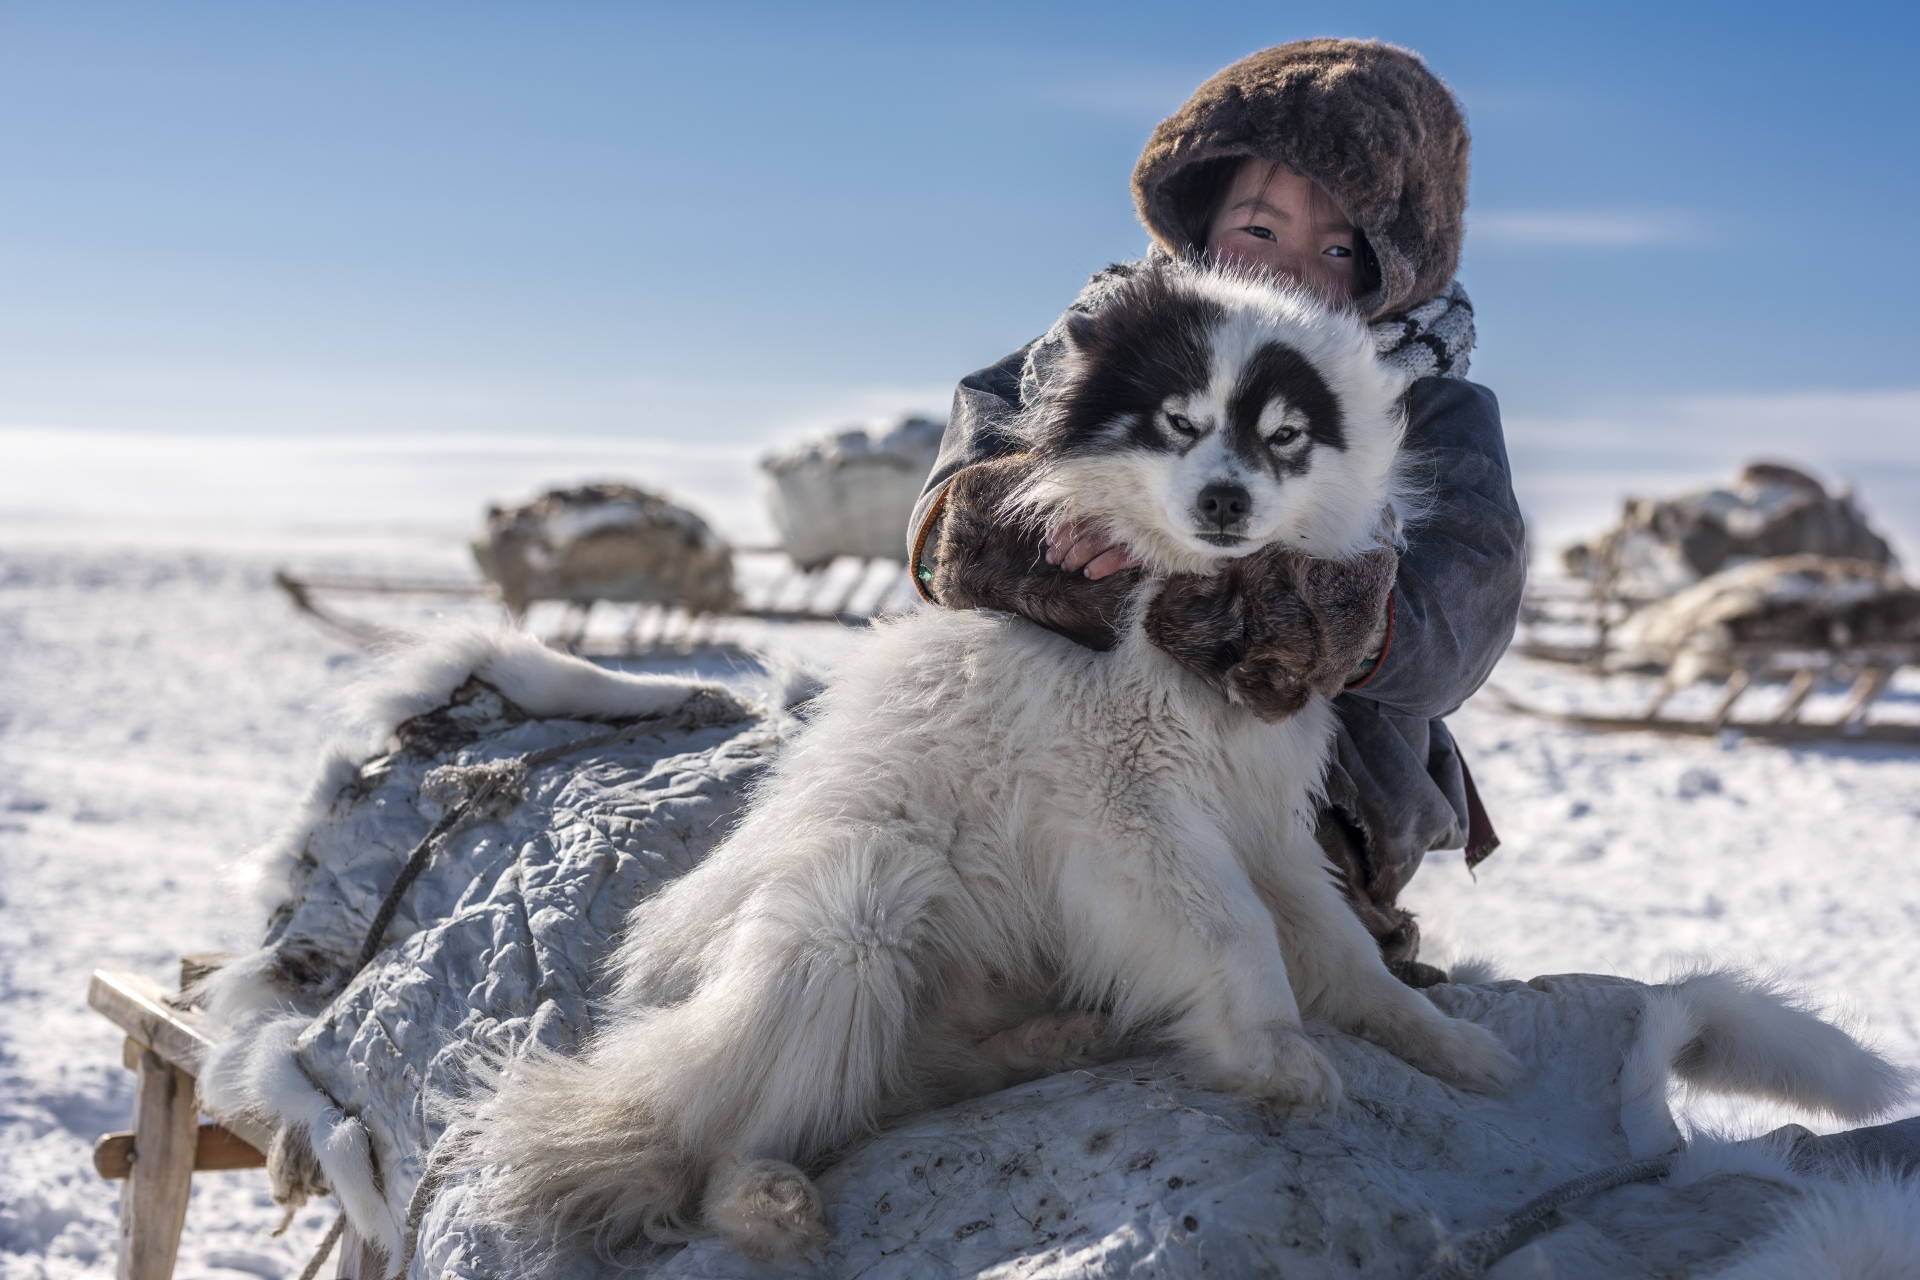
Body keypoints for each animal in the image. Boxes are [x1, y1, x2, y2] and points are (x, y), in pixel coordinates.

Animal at [460, 260, 1512, 1258]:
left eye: (1287, 435)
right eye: (1178, 421)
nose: (1224, 497)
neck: (1179, 606)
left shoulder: (1263, 823)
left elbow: (1344, 956)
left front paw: (1447, 1045)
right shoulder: (1133, 816)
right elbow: (1236, 931)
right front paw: (1272, 1058)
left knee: (889, 1086)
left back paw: (1047, 1044)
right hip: (856, 914)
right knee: (729, 1129)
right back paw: (765, 1197)